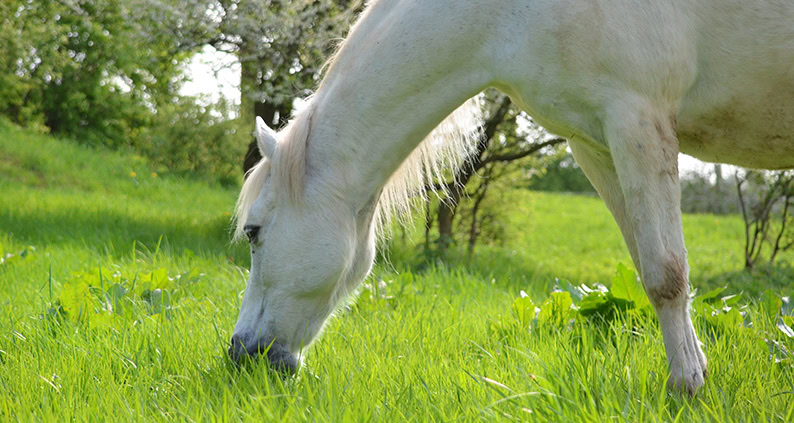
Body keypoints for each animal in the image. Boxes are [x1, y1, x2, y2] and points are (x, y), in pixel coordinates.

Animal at [228, 0, 794, 394]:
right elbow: (646, 264)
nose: (240, 354)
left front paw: (685, 388)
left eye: (254, 232)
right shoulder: (595, 143)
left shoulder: (637, 120)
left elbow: (666, 274)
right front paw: (693, 372)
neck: (511, 14)